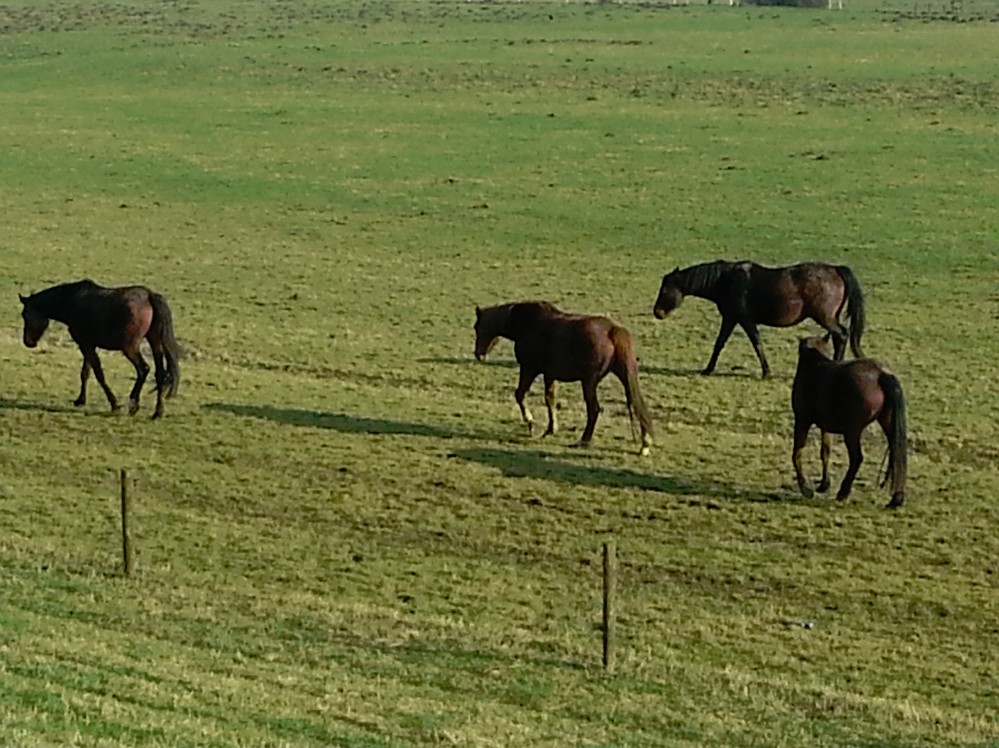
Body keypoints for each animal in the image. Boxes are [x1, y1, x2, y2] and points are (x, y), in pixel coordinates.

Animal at [19, 280, 183, 420]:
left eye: (25, 315)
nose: (28, 342)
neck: (73, 302)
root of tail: (149, 296)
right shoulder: (88, 344)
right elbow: (85, 372)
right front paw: (80, 400)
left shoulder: (85, 344)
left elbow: (99, 374)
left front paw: (114, 404)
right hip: (155, 342)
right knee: (160, 374)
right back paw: (157, 412)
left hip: (130, 347)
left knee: (143, 369)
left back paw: (133, 404)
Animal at [476, 300, 656, 456]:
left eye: (477, 327)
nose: (478, 355)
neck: (528, 324)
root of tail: (612, 330)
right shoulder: (549, 374)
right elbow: (550, 399)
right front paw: (551, 428)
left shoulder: (529, 369)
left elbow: (520, 394)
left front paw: (532, 424)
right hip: (623, 376)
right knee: (637, 404)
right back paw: (645, 443)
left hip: (589, 382)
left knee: (594, 409)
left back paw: (584, 440)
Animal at [656, 262, 868, 380]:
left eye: (665, 289)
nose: (657, 312)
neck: (727, 280)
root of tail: (836, 270)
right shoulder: (731, 319)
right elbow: (720, 343)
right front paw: (708, 369)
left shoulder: (743, 319)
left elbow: (756, 343)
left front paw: (766, 372)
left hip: (825, 317)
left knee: (842, 335)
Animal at [792, 338, 912, 508]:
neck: (814, 363)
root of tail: (880, 374)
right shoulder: (825, 427)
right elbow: (825, 452)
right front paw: (824, 484)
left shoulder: (802, 420)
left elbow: (797, 452)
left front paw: (806, 489)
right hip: (886, 422)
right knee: (896, 452)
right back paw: (896, 498)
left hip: (852, 431)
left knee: (857, 458)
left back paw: (843, 492)